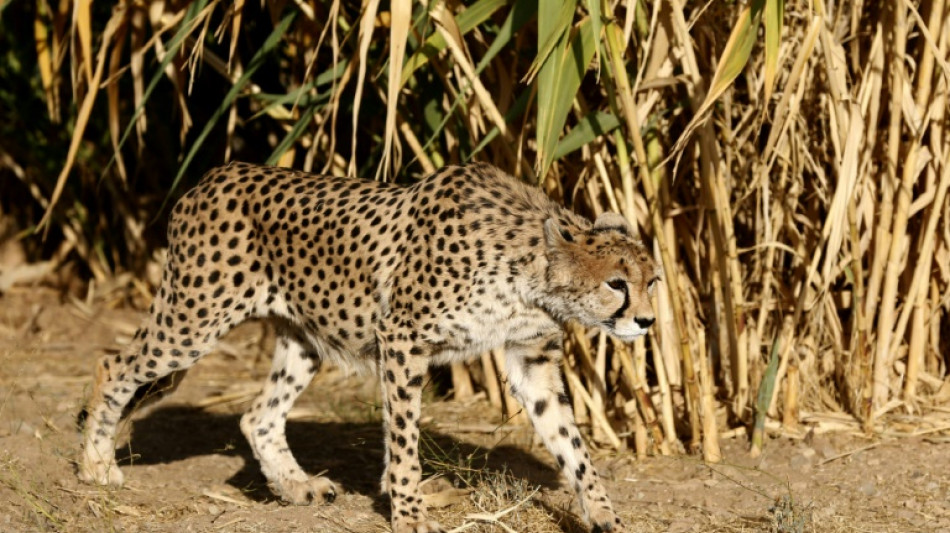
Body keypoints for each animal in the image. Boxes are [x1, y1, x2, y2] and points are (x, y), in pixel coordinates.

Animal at [78, 161, 659, 533]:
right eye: (617, 284)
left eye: (652, 280)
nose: (648, 322)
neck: (530, 272)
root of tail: (210, 177)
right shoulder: (401, 339)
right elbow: (403, 439)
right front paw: (408, 512)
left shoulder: (531, 358)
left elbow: (571, 444)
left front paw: (603, 514)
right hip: (194, 320)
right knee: (114, 365)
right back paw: (95, 465)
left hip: (305, 337)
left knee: (257, 416)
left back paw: (297, 487)